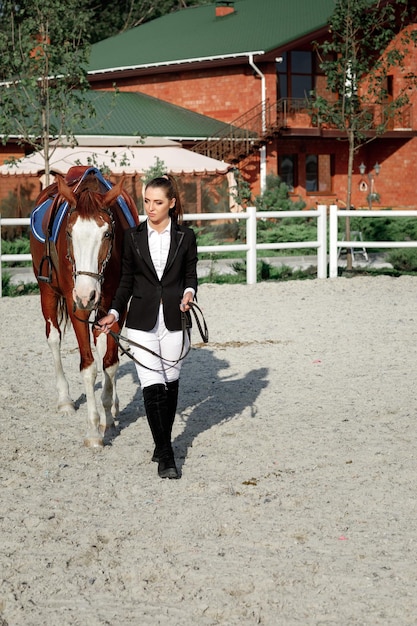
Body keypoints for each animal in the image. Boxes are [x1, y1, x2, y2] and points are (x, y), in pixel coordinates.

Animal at [31, 166, 138, 446]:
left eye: (107, 234)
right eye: (69, 233)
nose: (85, 294)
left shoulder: (116, 305)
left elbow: (110, 362)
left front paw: (108, 419)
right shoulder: (76, 307)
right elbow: (89, 368)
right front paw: (93, 431)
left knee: (101, 342)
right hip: (47, 290)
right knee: (54, 338)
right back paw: (65, 401)